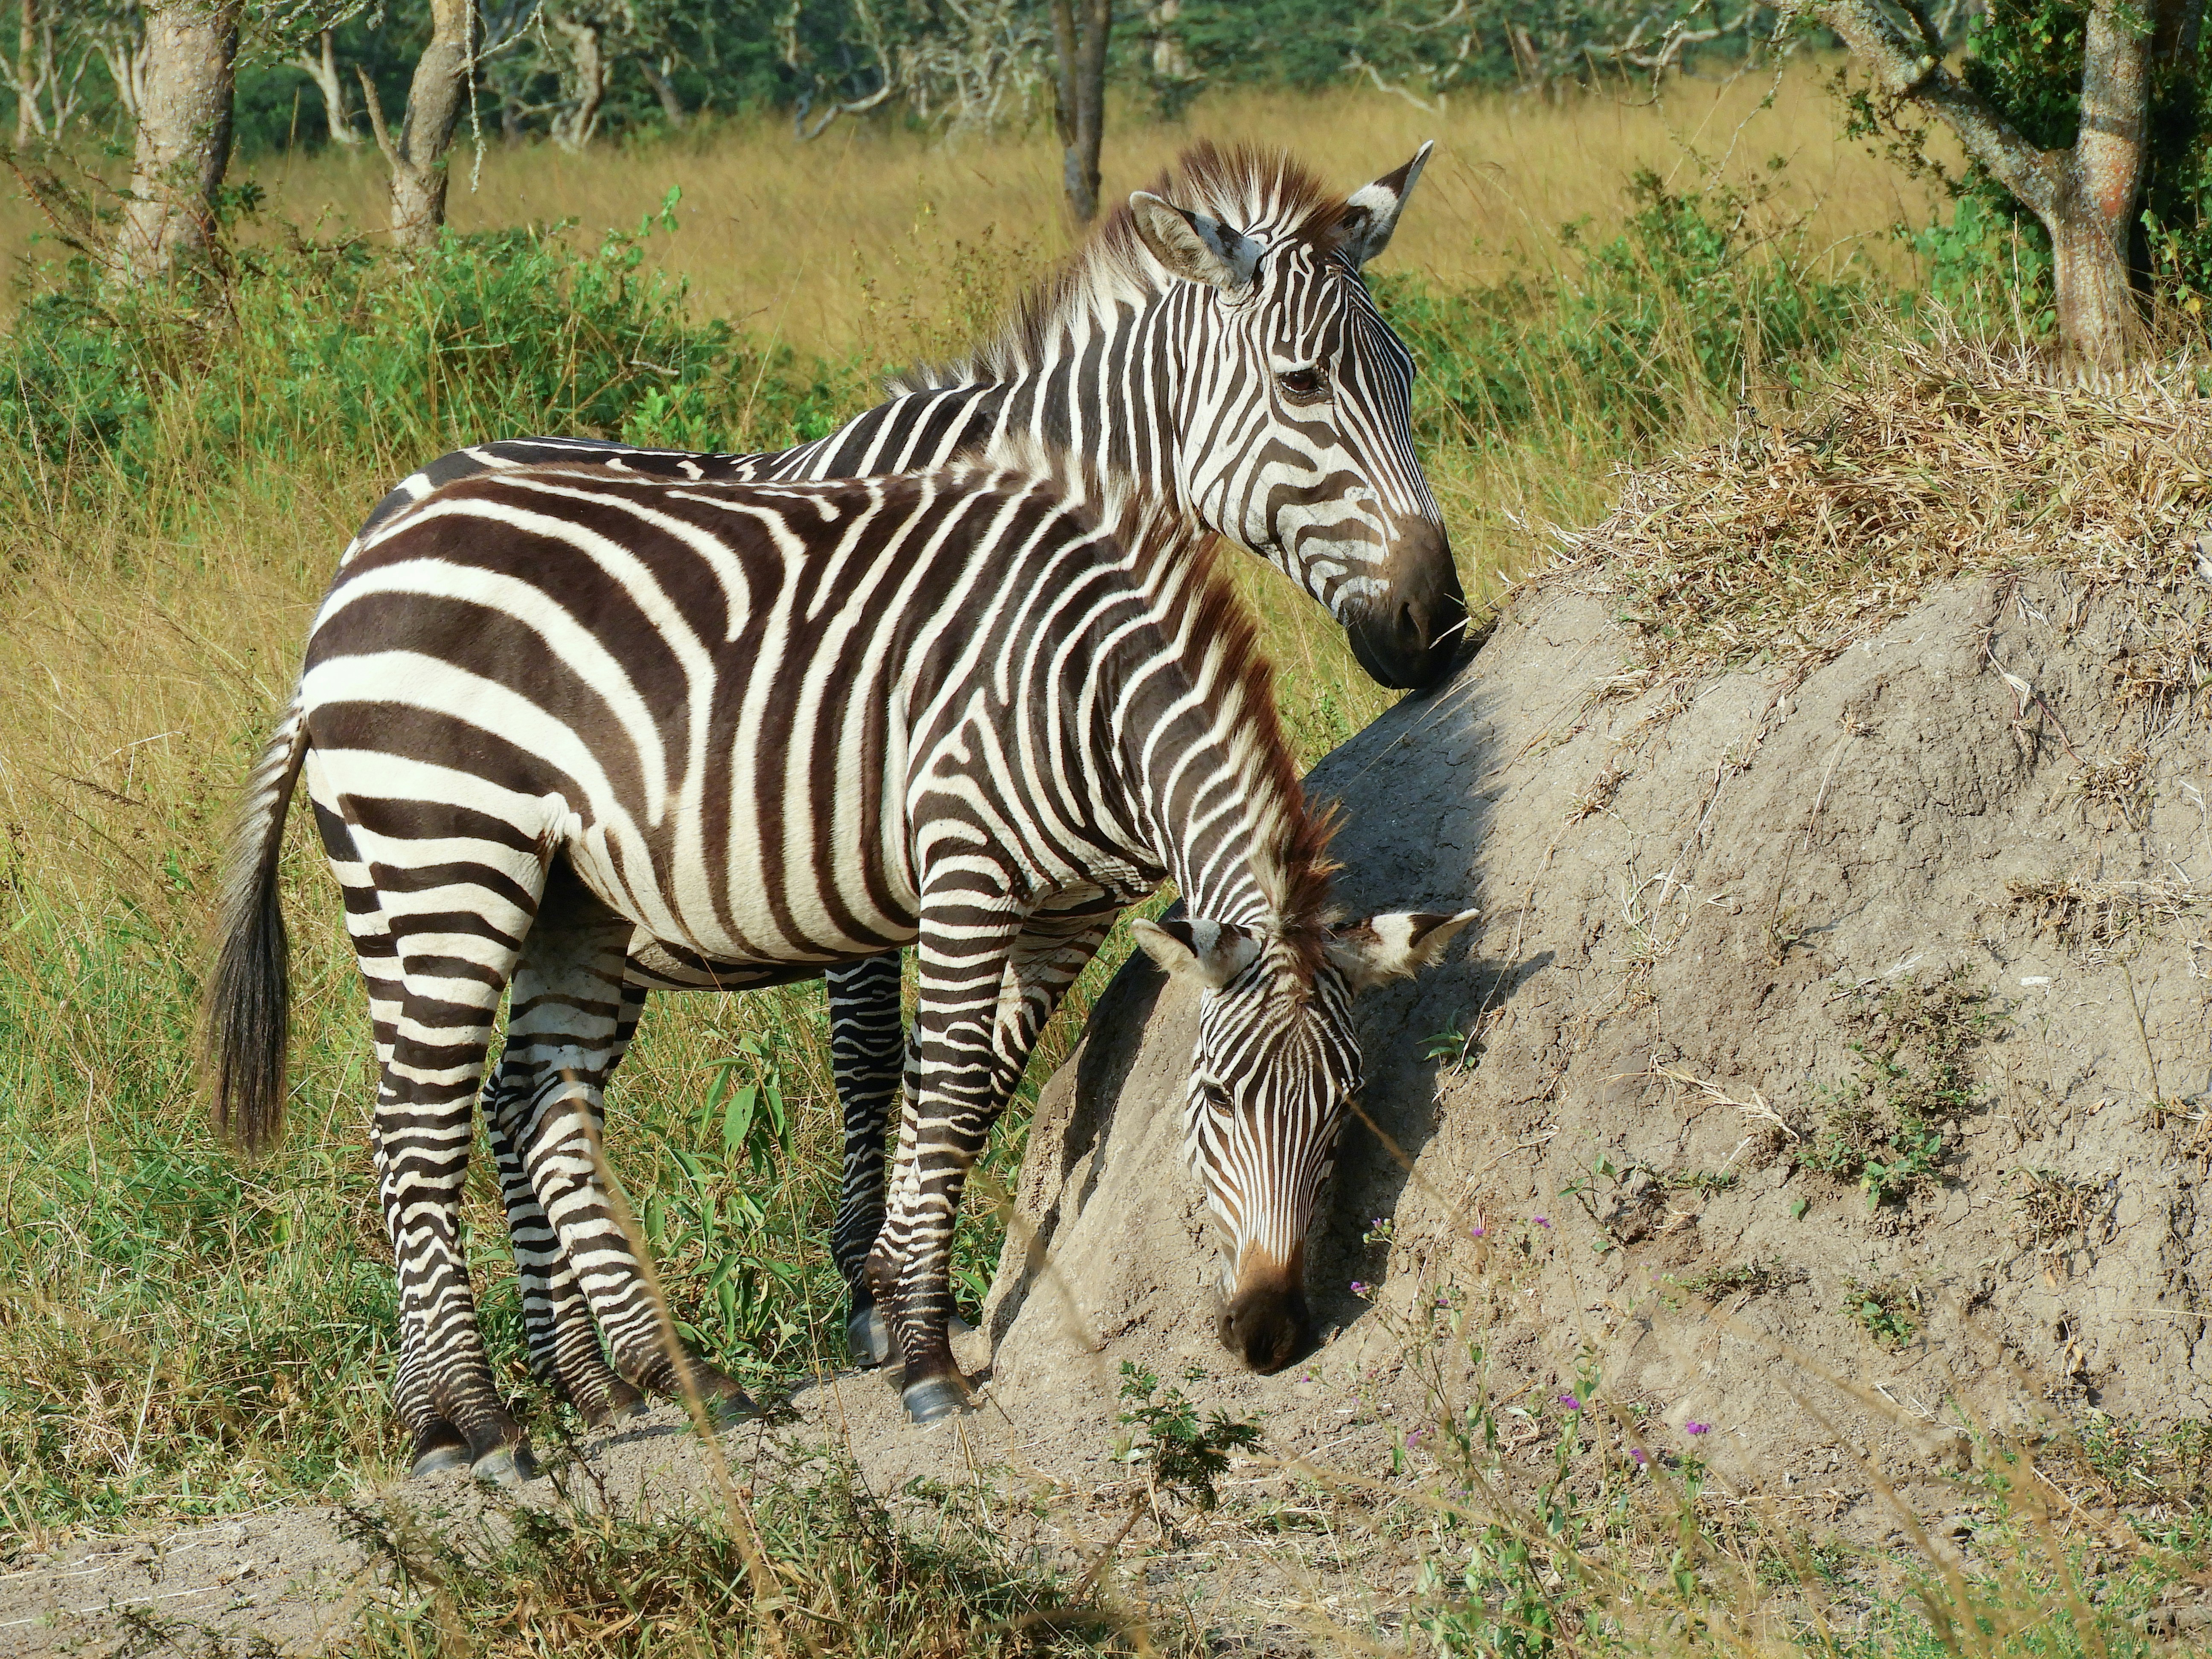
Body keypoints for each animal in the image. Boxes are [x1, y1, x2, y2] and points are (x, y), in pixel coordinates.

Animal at [207, 454, 1473, 1481]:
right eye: (1211, 1101)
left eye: (1347, 1111)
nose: (1268, 1335)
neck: (1090, 696)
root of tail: (354, 577)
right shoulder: (965, 861)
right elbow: (949, 1090)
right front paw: (923, 1354)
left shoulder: (1071, 910)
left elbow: (971, 1090)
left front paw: (891, 1297)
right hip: (444, 862)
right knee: (416, 1131)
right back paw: (466, 1423)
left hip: (563, 897)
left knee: (536, 1109)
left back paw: (651, 1380)